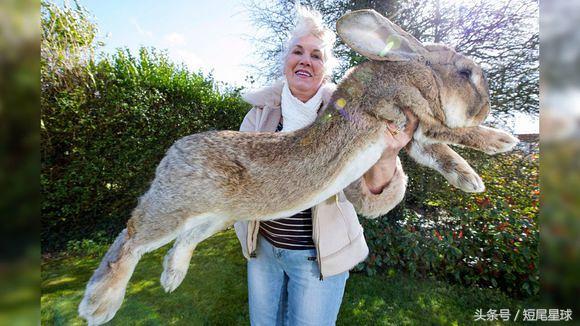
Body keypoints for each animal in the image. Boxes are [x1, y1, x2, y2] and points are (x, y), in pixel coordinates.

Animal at [77, 8, 516, 324]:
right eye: (466, 73)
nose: (486, 108)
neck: (415, 70)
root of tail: (173, 153)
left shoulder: (416, 135)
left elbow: (442, 153)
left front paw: (471, 180)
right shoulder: (413, 113)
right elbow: (456, 134)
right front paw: (501, 141)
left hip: (216, 216)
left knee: (182, 240)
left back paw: (171, 277)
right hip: (178, 206)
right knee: (130, 238)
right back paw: (98, 305)